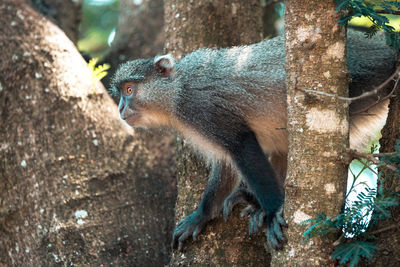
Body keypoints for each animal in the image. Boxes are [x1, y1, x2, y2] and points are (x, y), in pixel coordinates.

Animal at [109, 30, 396, 252]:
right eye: (121, 94)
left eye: (130, 90)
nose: (121, 109)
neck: (176, 91)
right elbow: (225, 164)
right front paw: (200, 215)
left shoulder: (202, 108)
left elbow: (241, 144)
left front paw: (274, 210)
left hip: (366, 86)